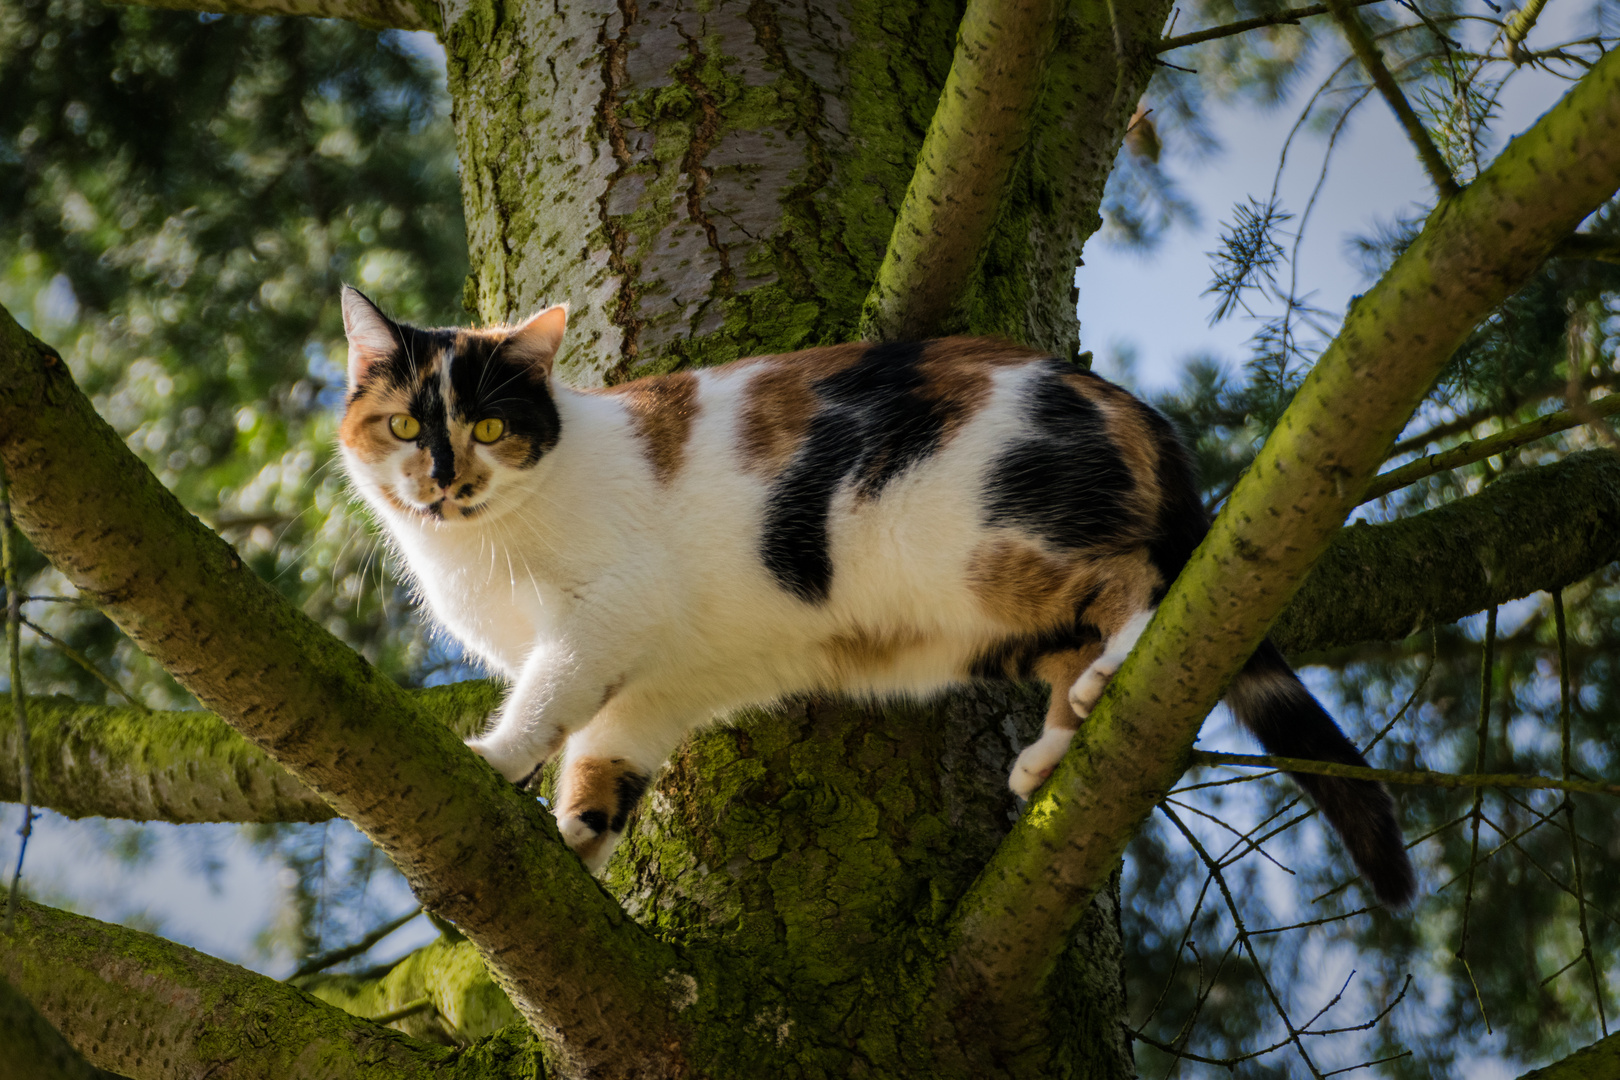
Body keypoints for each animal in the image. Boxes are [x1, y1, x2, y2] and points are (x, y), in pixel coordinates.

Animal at [341, 284, 1419, 906]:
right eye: (404, 426)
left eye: (487, 426)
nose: (442, 478)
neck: (481, 546)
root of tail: (1127, 404)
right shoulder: (652, 689)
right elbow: (604, 763)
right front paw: (575, 841)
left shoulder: (605, 614)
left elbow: (548, 697)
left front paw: (492, 757)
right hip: (1002, 619)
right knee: (1080, 639)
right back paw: (1054, 751)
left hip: (997, 541)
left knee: (1149, 584)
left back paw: (1112, 673)